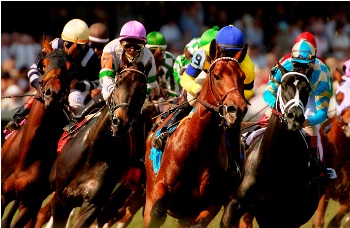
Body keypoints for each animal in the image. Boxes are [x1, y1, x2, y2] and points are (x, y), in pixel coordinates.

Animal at [1, 37, 74, 228]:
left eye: (70, 68)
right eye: (43, 64)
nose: (53, 94)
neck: (26, 154)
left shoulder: (31, 202)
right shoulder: (3, 194)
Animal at [48, 55, 152, 228]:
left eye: (143, 90)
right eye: (118, 83)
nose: (120, 122)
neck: (94, 152)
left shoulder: (92, 205)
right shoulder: (61, 199)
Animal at [143, 40, 249, 227]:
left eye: (242, 77)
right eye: (217, 76)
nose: (236, 110)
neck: (198, 145)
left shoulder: (211, 203)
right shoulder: (160, 187)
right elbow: (158, 211)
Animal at [220, 63, 322, 228]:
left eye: (306, 89)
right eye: (283, 85)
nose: (295, 116)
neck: (274, 161)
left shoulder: (288, 215)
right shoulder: (235, 204)